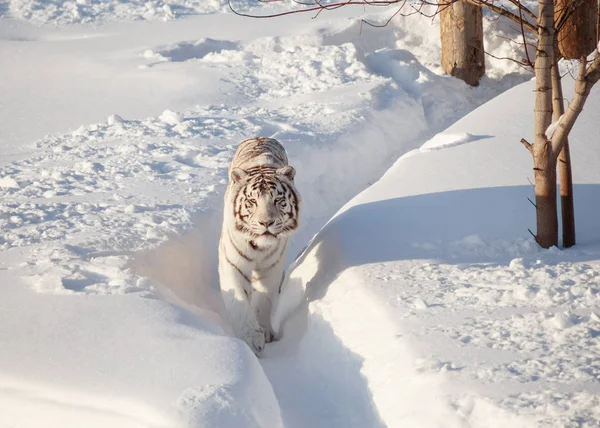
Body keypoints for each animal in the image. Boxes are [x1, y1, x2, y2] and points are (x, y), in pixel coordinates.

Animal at [218, 137, 300, 354]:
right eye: (252, 201)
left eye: (278, 200)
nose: (266, 223)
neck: (259, 247)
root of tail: (261, 137)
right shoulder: (233, 263)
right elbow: (239, 302)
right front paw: (251, 339)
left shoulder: (271, 267)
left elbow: (264, 300)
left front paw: (265, 332)